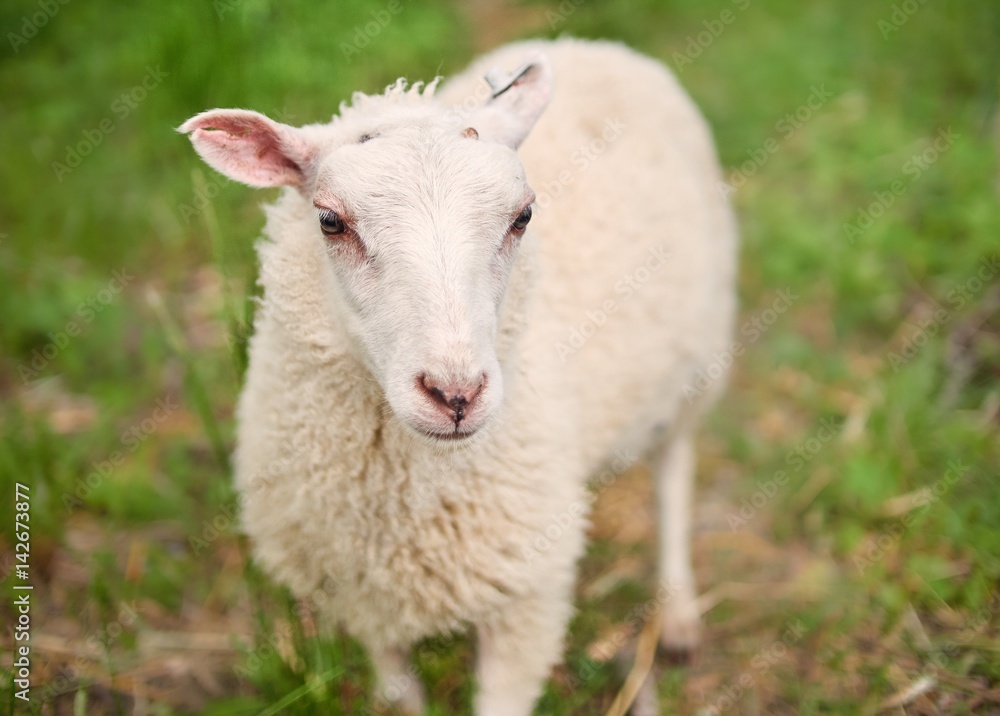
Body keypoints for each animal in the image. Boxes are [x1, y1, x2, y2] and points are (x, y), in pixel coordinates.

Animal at [180, 37, 736, 715]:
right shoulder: (362, 598)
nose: (455, 395)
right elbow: (399, 697)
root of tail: (591, 44)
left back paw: (676, 613)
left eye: (523, 216)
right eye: (330, 221)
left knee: (674, 470)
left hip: (700, 355)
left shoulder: (527, 602)